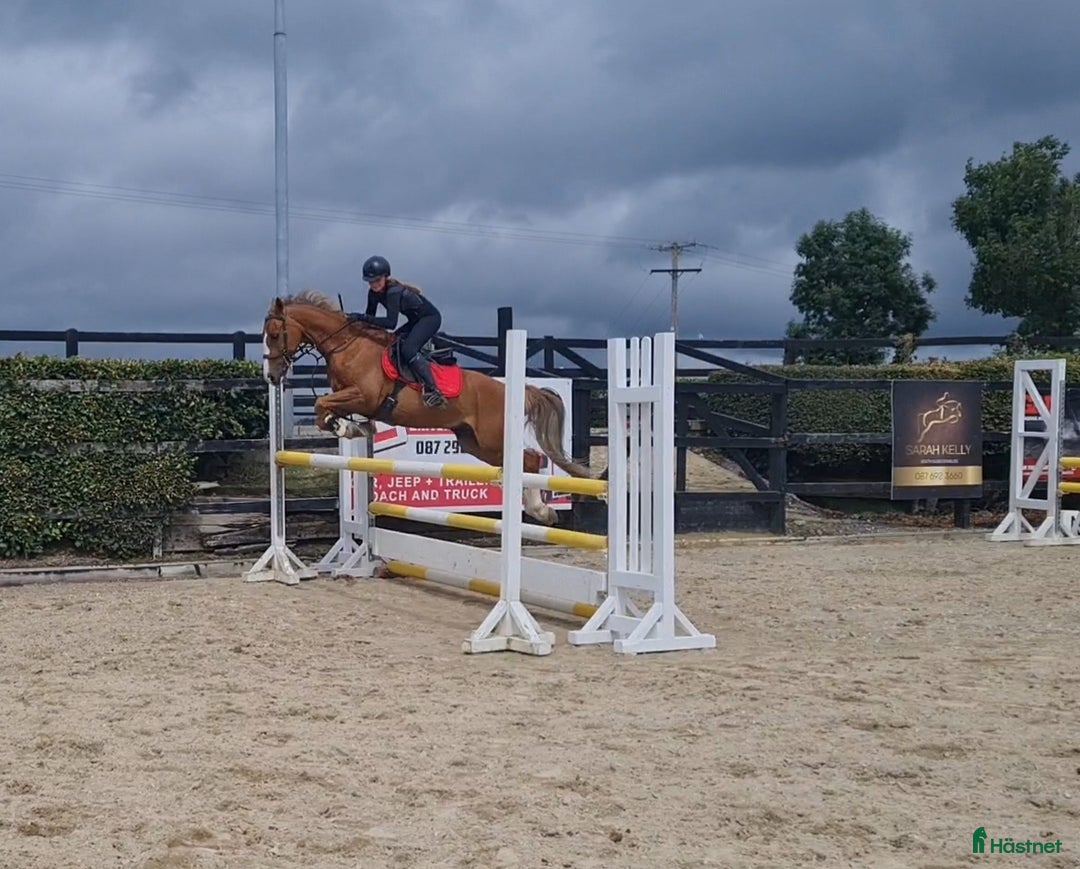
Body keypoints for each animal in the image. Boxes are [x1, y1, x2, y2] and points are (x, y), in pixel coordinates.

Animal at [261, 290, 600, 525]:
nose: (272, 376)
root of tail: (507, 389)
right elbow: (325, 409)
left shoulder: (364, 396)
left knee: (531, 459)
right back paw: (539, 509)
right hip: (475, 443)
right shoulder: (353, 398)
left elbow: (321, 404)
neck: (348, 345)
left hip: (492, 437)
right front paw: (354, 427)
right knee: (526, 460)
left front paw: (345, 426)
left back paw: (540, 509)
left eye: (275, 335)